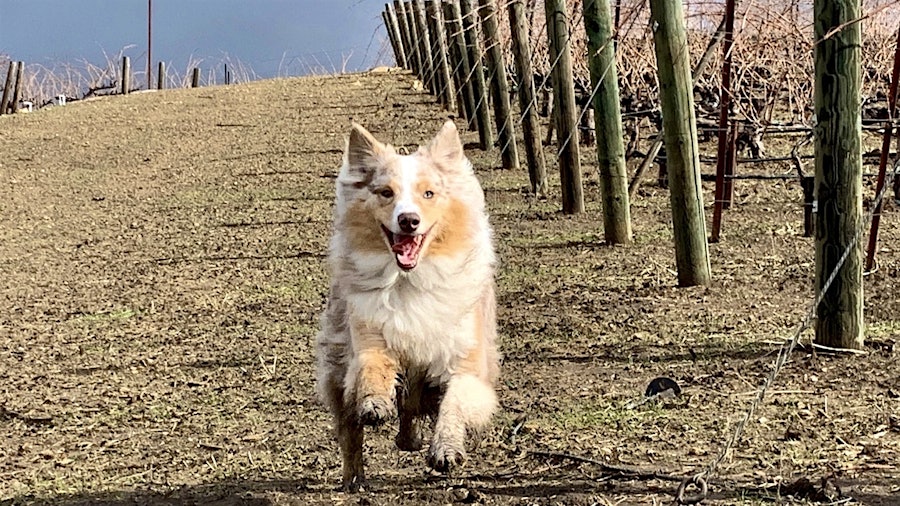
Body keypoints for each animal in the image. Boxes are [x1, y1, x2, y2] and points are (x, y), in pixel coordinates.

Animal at [314, 119, 500, 490]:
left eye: (428, 194)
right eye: (386, 193)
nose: (408, 220)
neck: (409, 280)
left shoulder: (467, 361)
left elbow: (455, 400)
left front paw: (445, 449)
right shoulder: (368, 335)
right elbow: (371, 368)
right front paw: (374, 403)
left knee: (411, 412)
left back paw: (410, 440)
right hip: (337, 366)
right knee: (350, 430)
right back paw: (354, 478)